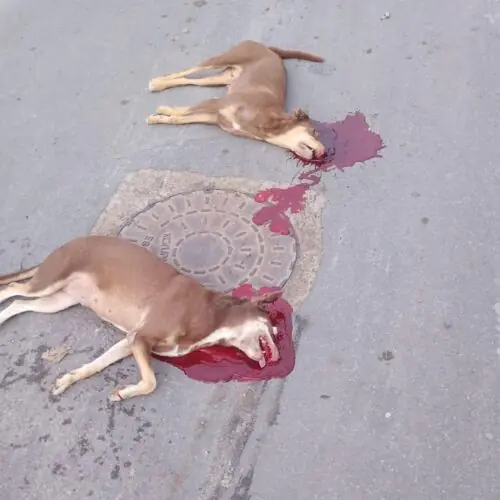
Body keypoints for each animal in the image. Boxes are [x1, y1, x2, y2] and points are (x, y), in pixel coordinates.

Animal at [0, 235, 281, 402]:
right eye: (271, 327)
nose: (278, 356)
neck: (215, 316)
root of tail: (69, 243)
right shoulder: (140, 338)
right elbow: (151, 382)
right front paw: (125, 392)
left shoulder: (130, 341)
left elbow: (96, 365)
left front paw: (70, 379)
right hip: (49, 281)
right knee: (11, 289)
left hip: (57, 302)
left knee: (19, 304)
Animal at [147, 40, 326, 160]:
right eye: (313, 131)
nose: (324, 152)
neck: (267, 122)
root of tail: (269, 49)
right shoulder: (218, 103)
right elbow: (184, 111)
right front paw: (164, 111)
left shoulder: (214, 118)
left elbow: (179, 119)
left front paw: (160, 117)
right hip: (222, 59)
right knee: (188, 70)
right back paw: (157, 82)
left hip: (221, 78)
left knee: (190, 80)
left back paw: (160, 84)